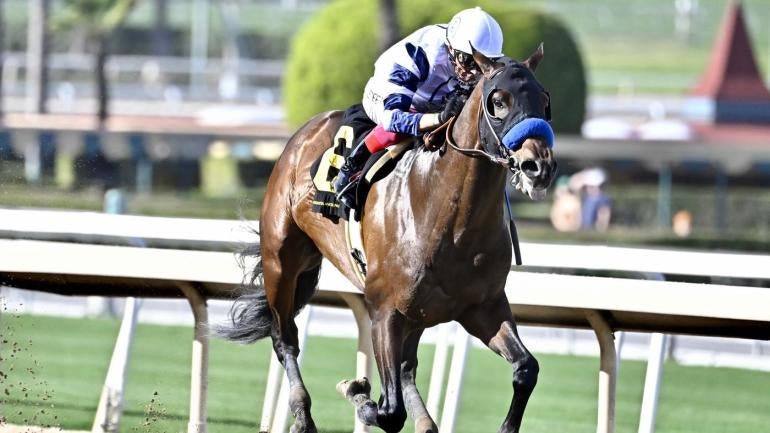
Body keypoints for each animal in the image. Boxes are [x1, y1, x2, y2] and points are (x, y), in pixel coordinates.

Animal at [219, 45, 557, 433]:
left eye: (543, 99)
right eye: (498, 101)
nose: (539, 165)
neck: (450, 219)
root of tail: (305, 131)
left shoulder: (482, 307)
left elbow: (526, 369)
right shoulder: (384, 310)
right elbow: (389, 409)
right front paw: (356, 390)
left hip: (417, 313)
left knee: (408, 368)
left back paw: (425, 422)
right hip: (282, 262)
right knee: (285, 339)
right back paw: (303, 414)